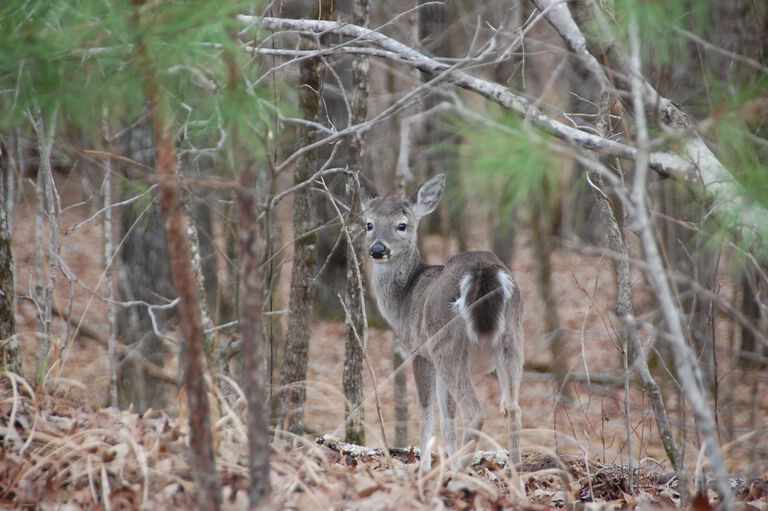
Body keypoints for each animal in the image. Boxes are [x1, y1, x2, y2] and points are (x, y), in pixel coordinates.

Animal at [364, 174, 524, 474]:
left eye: (401, 225)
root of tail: (484, 269)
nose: (378, 249)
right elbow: (448, 420)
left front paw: (425, 469)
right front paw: (443, 463)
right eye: (368, 223)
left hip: (448, 343)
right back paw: (516, 476)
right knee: (512, 408)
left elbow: (426, 414)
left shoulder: (419, 351)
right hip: (512, 338)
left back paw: (460, 471)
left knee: (475, 411)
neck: (404, 300)